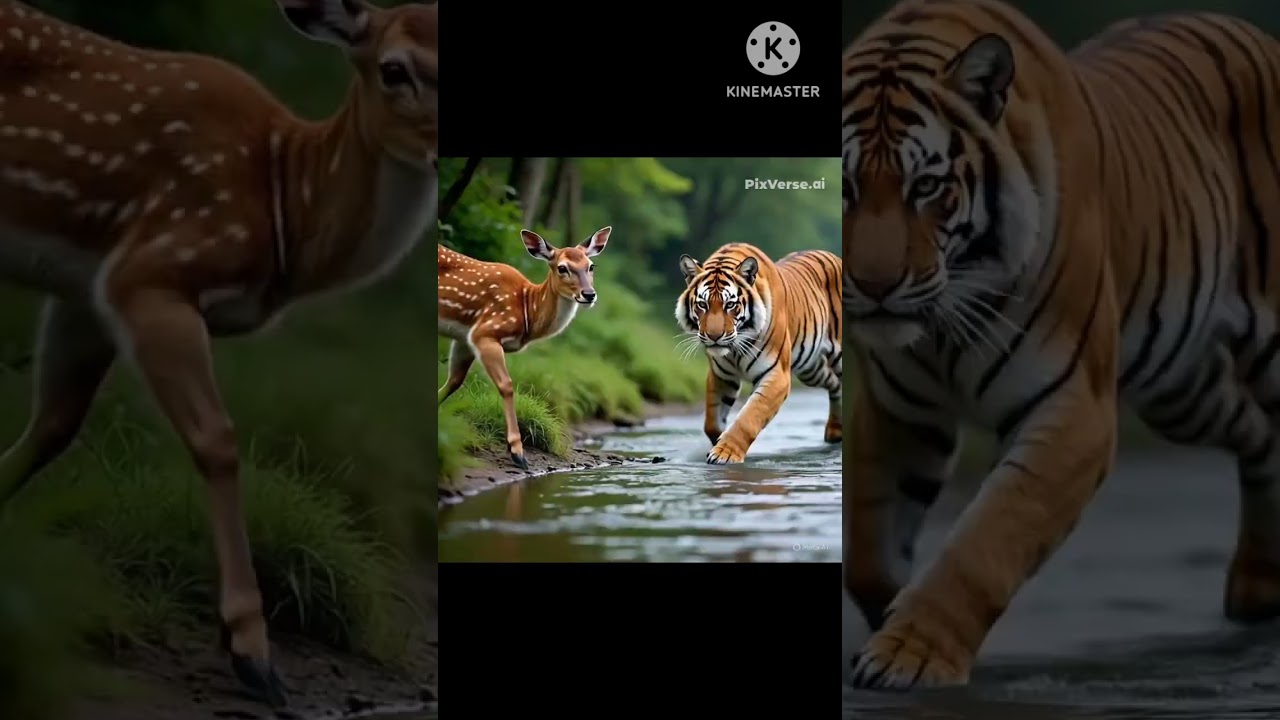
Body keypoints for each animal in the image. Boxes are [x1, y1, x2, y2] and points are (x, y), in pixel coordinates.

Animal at [0, 0, 437, 708]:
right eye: (394, 69)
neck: (285, 211)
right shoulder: (153, 270)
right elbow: (219, 441)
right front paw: (253, 655)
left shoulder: (86, 293)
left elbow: (54, 425)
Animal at [437, 226, 612, 469]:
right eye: (562, 268)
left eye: (591, 266)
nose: (589, 294)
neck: (527, 310)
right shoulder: (486, 331)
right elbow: (507, 385)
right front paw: (517, 452)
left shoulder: (464, 338)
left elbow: (454, 381)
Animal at [675, 243, 842, 464]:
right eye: (703, 305)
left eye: (730, 305)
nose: (714, 336)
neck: (734, 349)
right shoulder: (721, 376)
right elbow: (711, 423)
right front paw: (717, 441)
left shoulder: (777, 375)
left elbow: (749, 417)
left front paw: (725, 452)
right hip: (810, 368)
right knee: (835, 383)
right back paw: (835, 432)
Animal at [842, 0, 1280, 690]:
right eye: (845, 187)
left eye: (926, 187)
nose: (875, 287)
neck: (942, 325)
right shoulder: (900, 412)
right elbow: (867, 549)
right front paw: (888, 615)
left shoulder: (1074, 408)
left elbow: (986, 541)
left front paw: (908, 653)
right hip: (1181, 388)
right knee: (1260, 433)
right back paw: (1259, 587)